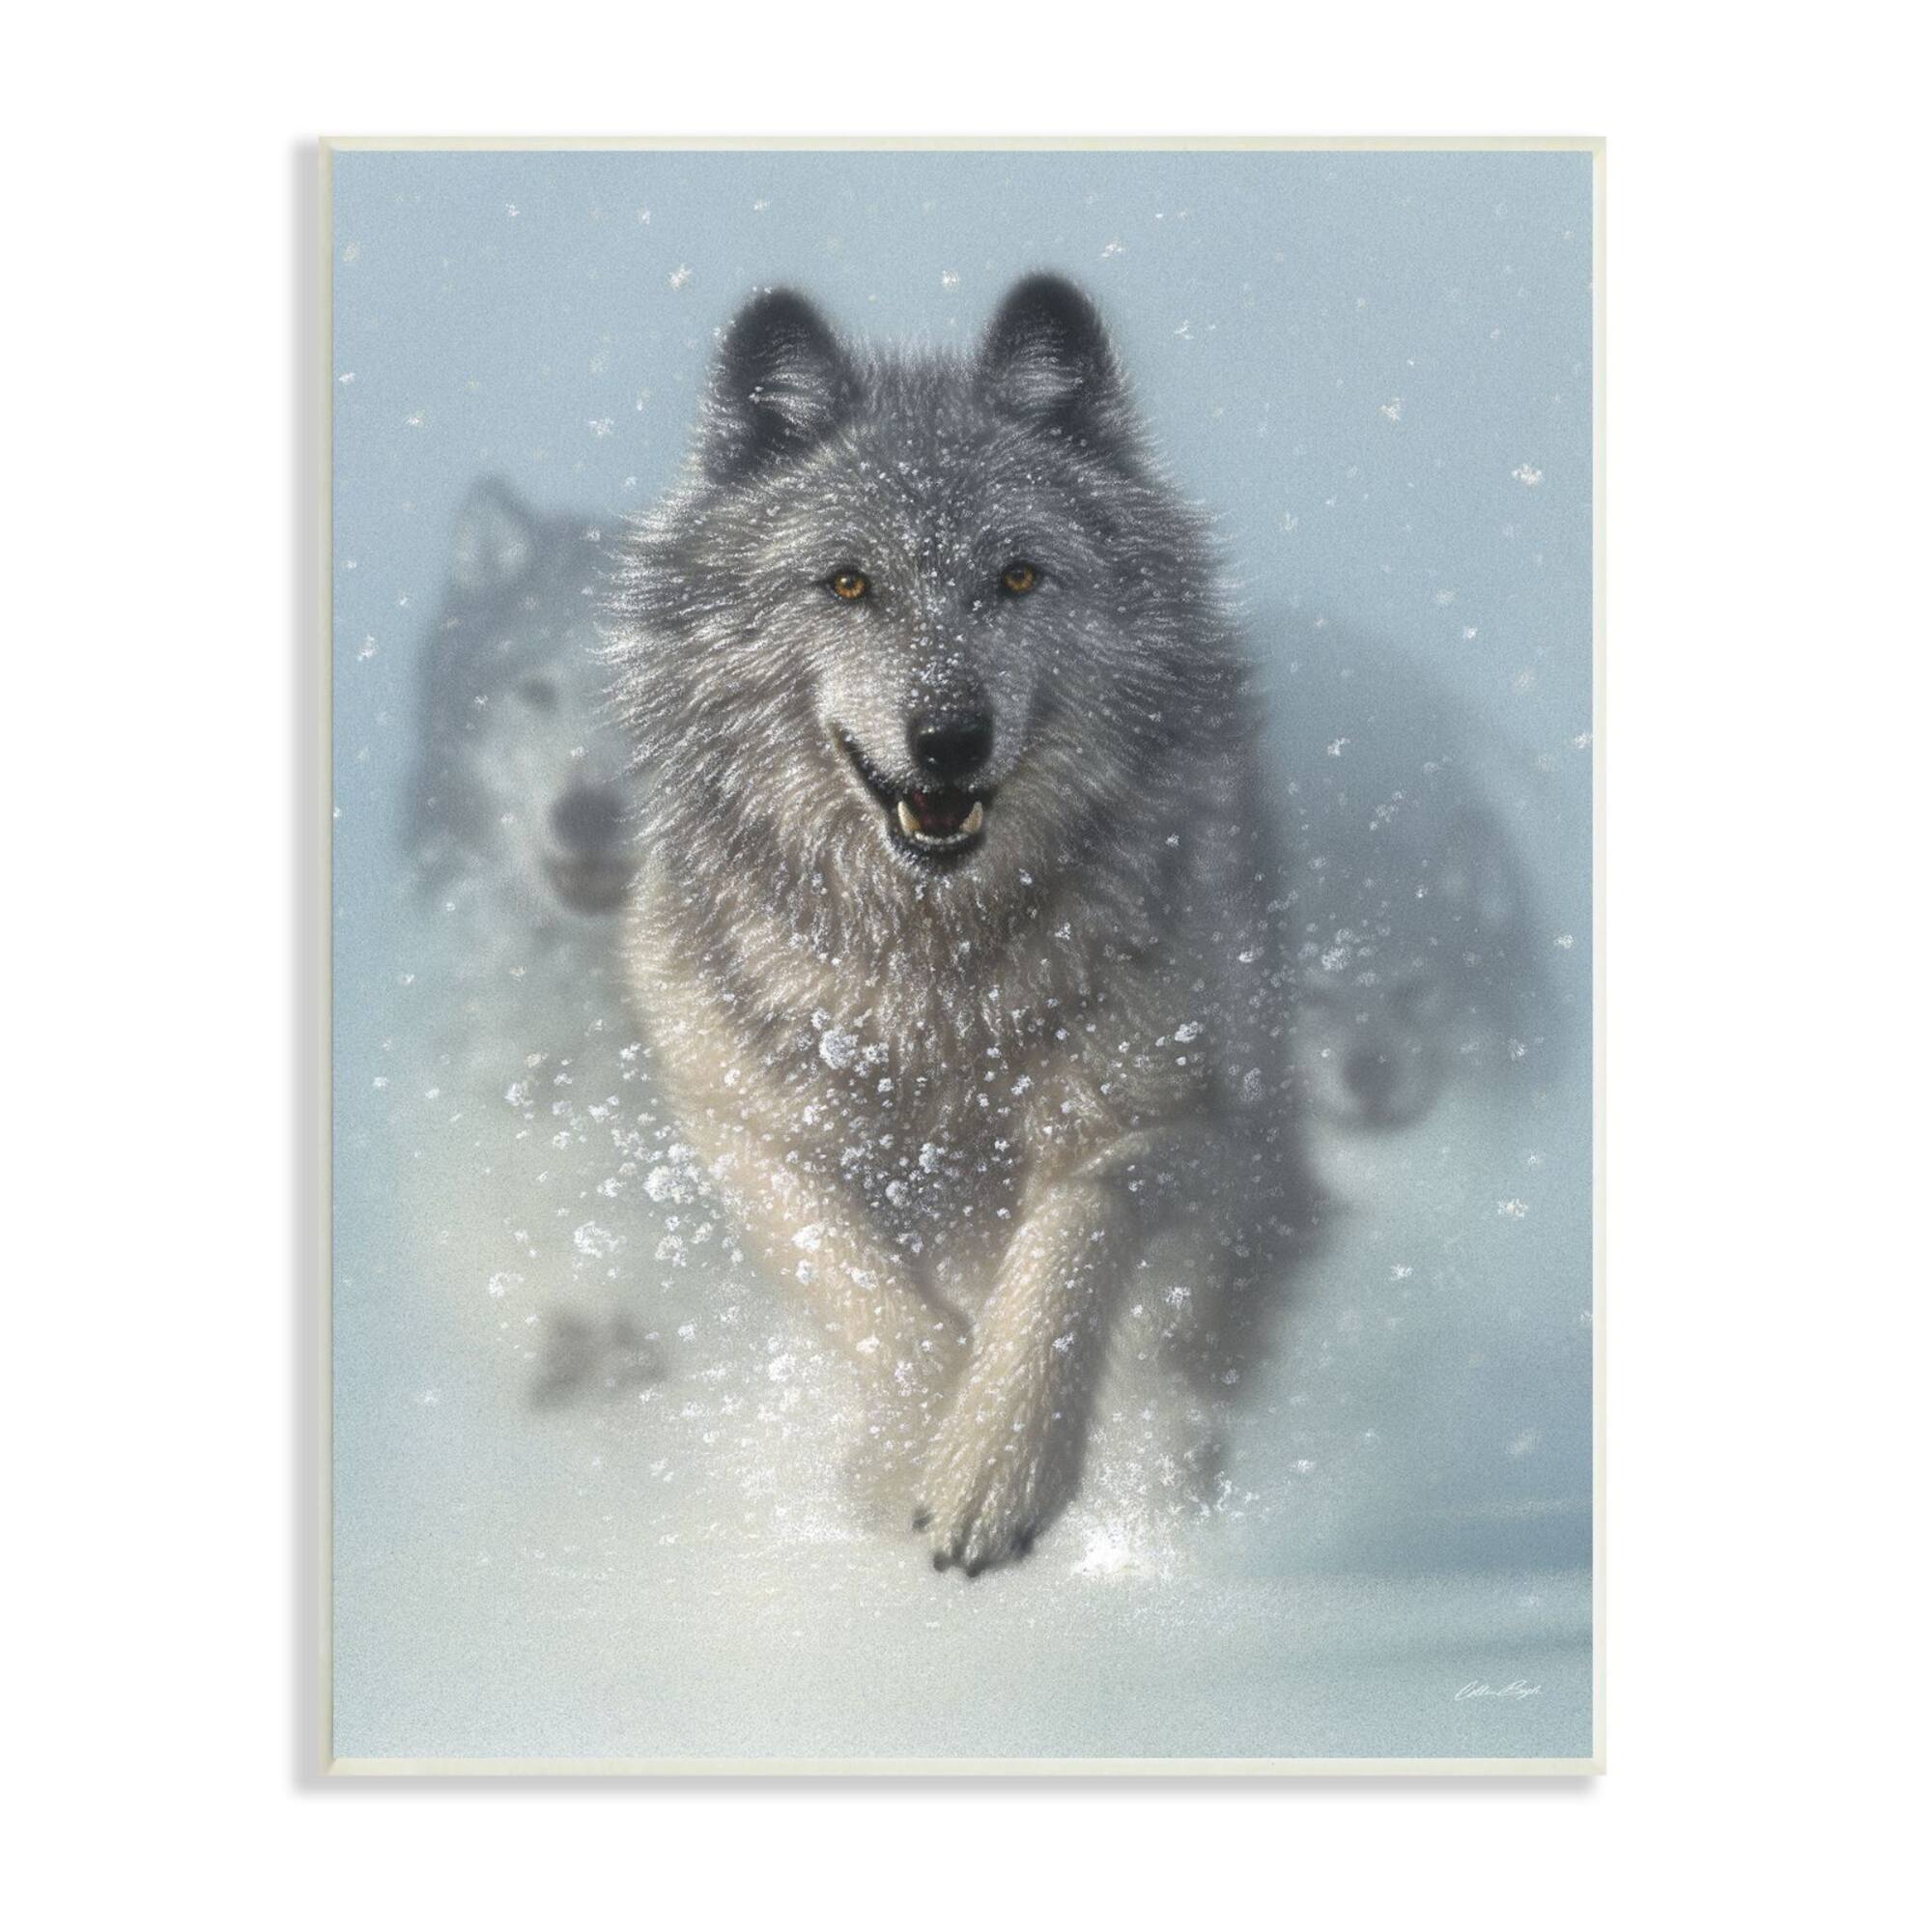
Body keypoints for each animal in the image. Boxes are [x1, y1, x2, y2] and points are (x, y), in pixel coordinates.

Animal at [609, 277, 1308, 1574]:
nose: (947, 737)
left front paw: (994, 1464)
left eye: (1018, 577)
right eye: (847, 584)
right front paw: (910, 1452)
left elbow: (1072, 1231)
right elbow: (869, 1295)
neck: (933, 981)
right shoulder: (738, 1128)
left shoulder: (1191, 1123)